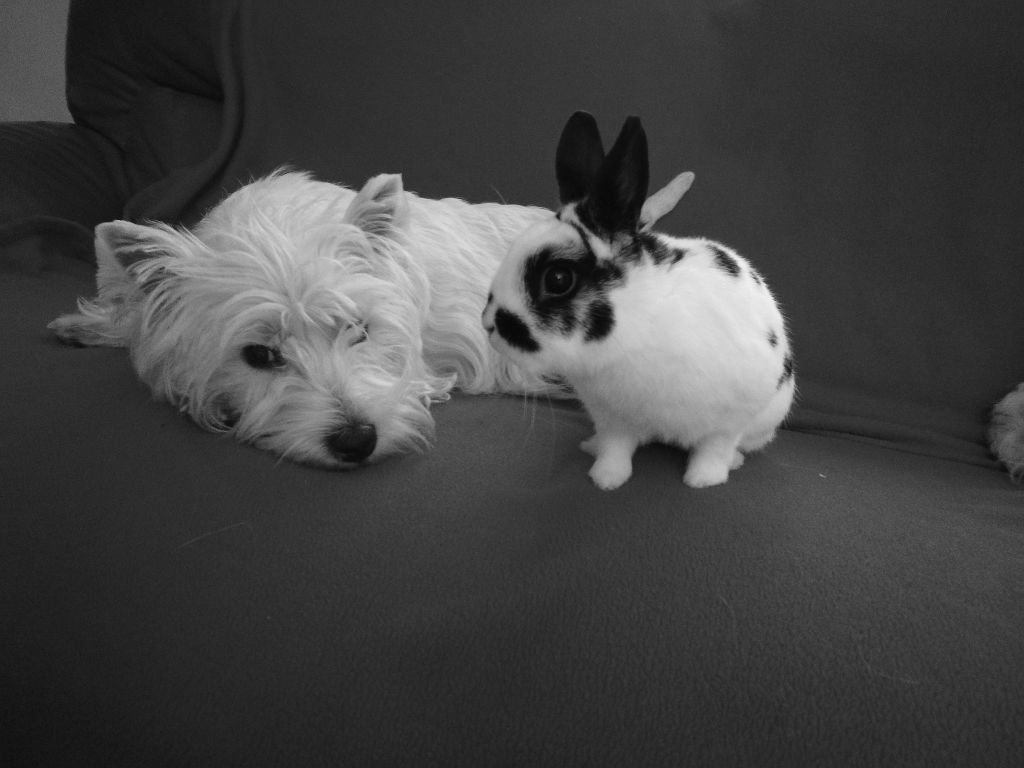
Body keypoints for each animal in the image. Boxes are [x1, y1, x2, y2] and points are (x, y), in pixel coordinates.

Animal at [483, 111, 794, 489]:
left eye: (557, 279)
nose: (489, 324)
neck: (634, 333)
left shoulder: (730, 417)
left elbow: (714, 448)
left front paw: (703, 480)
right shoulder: (612, 417)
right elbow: (616, 448)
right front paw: (606, 478)